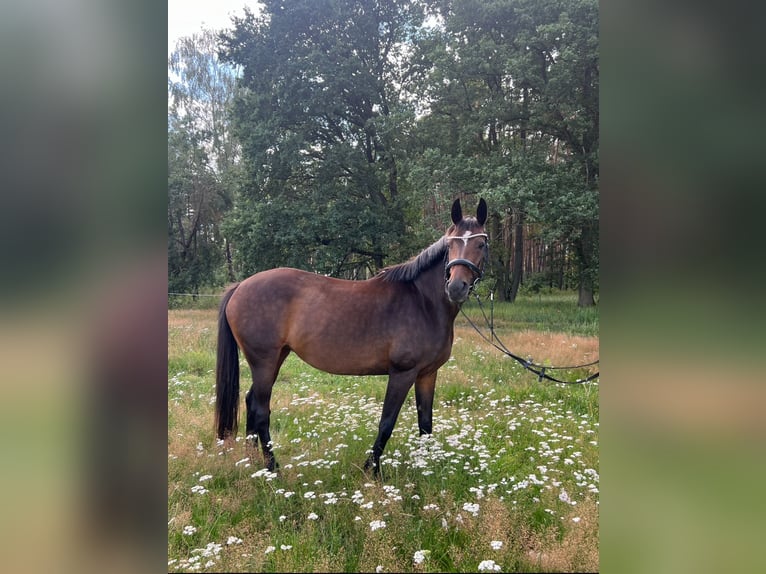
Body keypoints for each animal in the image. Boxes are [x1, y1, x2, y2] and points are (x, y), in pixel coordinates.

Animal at [214, 200, 492, 474]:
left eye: (480, 244)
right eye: (451, 244)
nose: (456, 288)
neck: (423, 301)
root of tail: (240, 286)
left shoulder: (427, 374)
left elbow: (425, 423)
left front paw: (426, 466)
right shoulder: (402, 373)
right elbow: (387, 422)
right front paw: (372, 470)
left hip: (275, 359)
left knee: (251, 402)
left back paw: (254, 463)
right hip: (264, 361)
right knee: (261, 410)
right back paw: (273, 468)